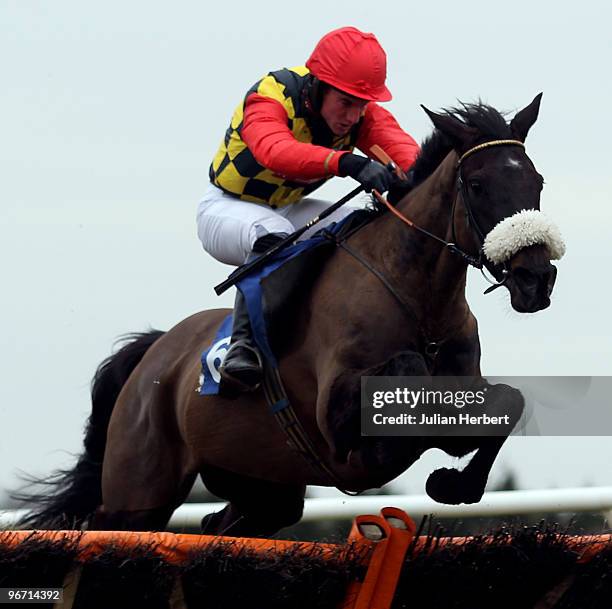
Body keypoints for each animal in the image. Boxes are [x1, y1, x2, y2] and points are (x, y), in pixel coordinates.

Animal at [19, 92, 564, 536]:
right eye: (477, 184)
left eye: (536, 181)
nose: (535, 278)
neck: (417, 300)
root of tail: (155, 352)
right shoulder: (337, 419)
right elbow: (403, 390)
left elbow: (508, 402)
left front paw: (455, 483)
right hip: (137, 492)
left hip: (263, 489)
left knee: (226, 523)